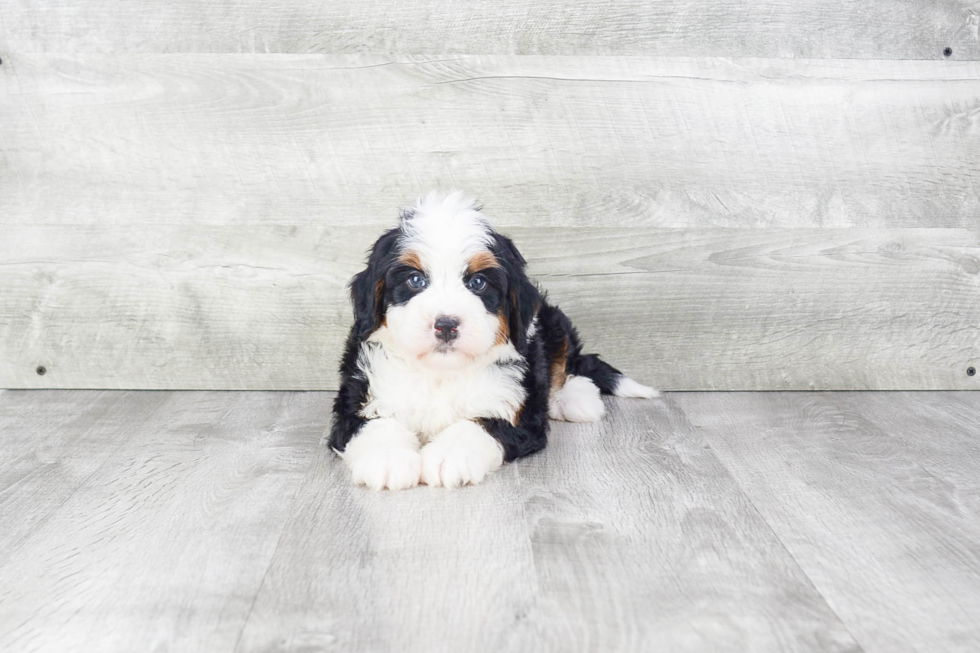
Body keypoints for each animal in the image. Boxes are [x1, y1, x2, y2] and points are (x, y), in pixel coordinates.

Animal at [330, 192, 660, 488]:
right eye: (415, 280)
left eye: (478, 282)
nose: (446, 325)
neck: (440, 373)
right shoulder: (357, 396)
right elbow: (373, 423)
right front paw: (387, 459)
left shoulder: (519, 413)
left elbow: (482, 423)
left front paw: (450, 456)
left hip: (553, 321)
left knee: (565, 365)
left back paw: (575, 399)